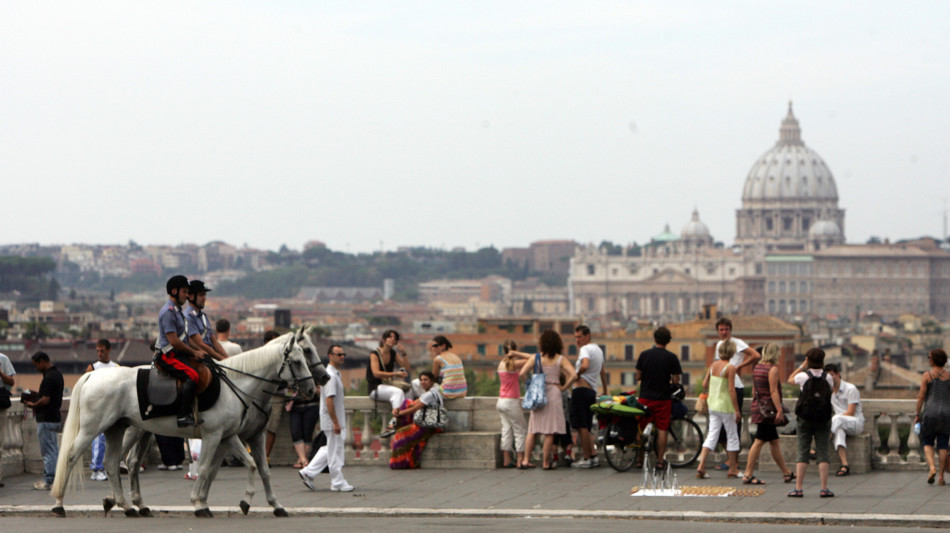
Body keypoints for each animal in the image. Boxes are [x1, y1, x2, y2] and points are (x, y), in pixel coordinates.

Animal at [51, 336, 316, 516]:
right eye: (297, 361)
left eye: (306, 356)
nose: (313, 388)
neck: (238, 386)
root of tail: (92, 375)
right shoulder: (216, 435)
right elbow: (210, 466)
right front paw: (200, 502)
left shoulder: (233, 436)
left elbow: (255, 467)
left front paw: (267, 504)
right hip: (93, 428)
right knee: (72, 457)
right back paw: (59, 504)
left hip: (119, 427)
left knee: (116, 462)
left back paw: (128, 505)